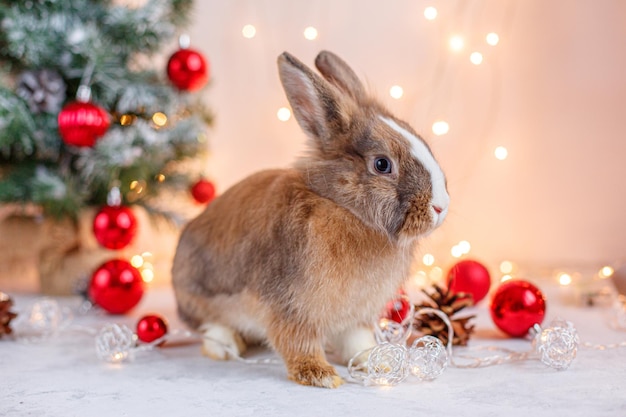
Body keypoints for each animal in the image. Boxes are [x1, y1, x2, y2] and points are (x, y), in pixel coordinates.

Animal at [168, 51, 446, 386]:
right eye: (382, 164)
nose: (440, 207)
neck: (342, 208)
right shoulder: (290, 305)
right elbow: (297, 342)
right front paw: (320, 375)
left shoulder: (355, 317)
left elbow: (358, 341)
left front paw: (379, 363)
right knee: (211, 327)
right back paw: (225, 347)